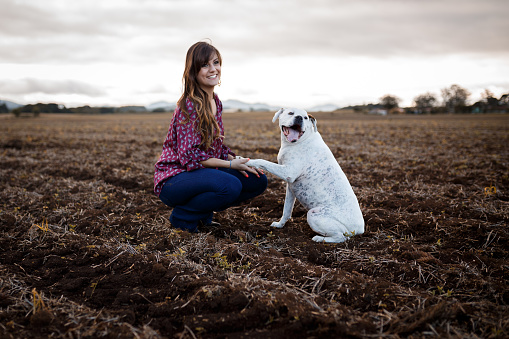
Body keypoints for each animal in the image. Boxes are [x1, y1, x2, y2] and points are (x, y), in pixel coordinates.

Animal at [245, 107, 362, 243]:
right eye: (291, 113)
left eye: (306, 117)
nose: (299, 118)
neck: (300, 141)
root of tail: (360, 229)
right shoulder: (290, 188)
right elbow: (286, 210)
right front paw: (280, 225)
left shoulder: (288, 172)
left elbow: (262, 161)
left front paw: (246, 161)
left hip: (314, 215)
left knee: (341, 236)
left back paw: (319, 238)